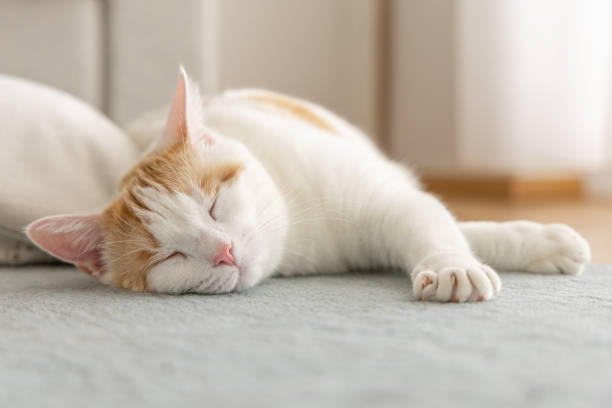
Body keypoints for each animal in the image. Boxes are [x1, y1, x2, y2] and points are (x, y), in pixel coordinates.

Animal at [26, 67, 592, 302]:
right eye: (167, 255)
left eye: (212, 204)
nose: (224, 251)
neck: (305, 237)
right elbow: (448, 224)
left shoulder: (388, 202)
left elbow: (443, 226)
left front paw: (521, 245)